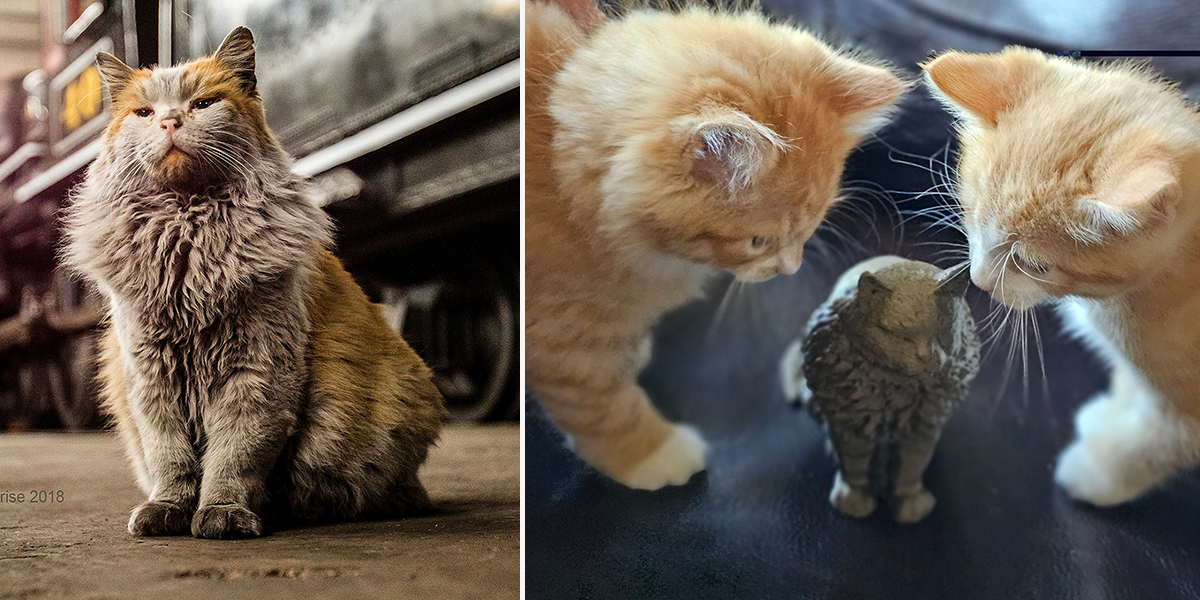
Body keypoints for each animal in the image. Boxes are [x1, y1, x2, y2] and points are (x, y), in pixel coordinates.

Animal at [63, 27, 446, 540]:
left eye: (203, 104)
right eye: (143, 113)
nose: (169, 121)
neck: (188, 235)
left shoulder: (257, 371)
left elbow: (235, 455)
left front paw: (223, 513)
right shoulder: (150, 375)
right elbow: (170, 458)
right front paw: (168, 509)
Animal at [530, 2, 902, 489]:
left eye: (811, 227)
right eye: (758, 241)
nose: (790, 269)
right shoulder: (557, 336)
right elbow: (602, 407)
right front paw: (651, 455)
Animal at [921, 48, 1200, 506]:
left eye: (1035, 266)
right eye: (971, 216)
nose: (979, 281)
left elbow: (1151, 444)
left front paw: (1098, 472)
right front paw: (1110, 417)